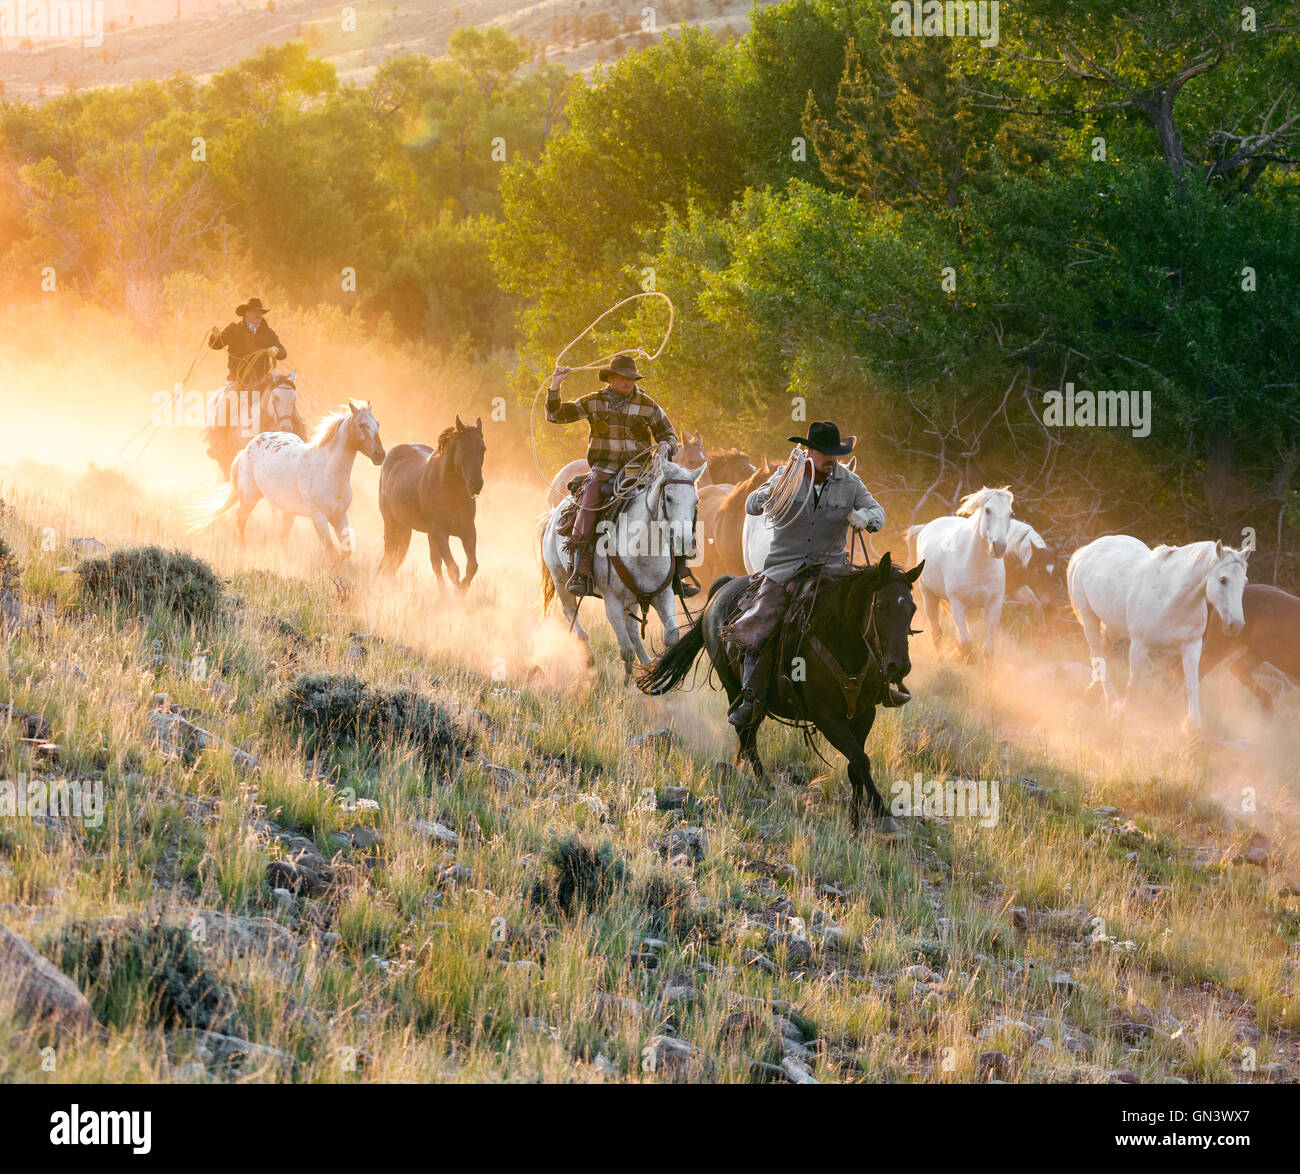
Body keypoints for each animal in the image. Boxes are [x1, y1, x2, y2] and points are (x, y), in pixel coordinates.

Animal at [379, 418, 491, 592]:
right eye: (463, 447)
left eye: (483, 448)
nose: (476, 484)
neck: (452, 493)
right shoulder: (440, 532)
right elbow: (453, 569)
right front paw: (458, 593)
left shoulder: (468, 531)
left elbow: (472, 566)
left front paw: (462, 589)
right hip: (393, 525)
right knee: (390, 557)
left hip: (412, 530)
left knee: (431, 563)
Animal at [637, 556, 925, 832]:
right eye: (881, 607)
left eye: (912, 609)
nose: (899, 667)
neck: (840, 640)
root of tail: (723, 588)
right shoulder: (827, 718)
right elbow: (860, 759)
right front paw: (883, 814)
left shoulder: (865, 713)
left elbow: (856, 764)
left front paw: (856, 819)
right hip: (732, 685)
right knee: (746, 733)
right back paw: (765, 785)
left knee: (749, 732)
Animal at [904, 486, 1013, 660]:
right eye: (988, 510)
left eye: (1010, 513)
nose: (999, 547)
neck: (976, 566)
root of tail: (926, 527)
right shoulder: (957, 603)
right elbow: (966, 643)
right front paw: (967, 659)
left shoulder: (994, 604)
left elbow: (988, 649)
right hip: (929, 597)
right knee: (937, 633)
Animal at [1066, 538, 1248, 728]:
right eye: (1223, 580)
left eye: (1244, 581)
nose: (1236, 625)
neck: (1172, 598)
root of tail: (1085, 551)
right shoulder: (1139, 645)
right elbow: (1134, 681)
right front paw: (1123, 714)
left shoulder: (1192, 647)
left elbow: (1192, 684)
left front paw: (1193, 725)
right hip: (1089, 619)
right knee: (1098, 654)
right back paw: (1111, 701)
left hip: (1113, 626)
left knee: (1102, 653)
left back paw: (1093, 694)